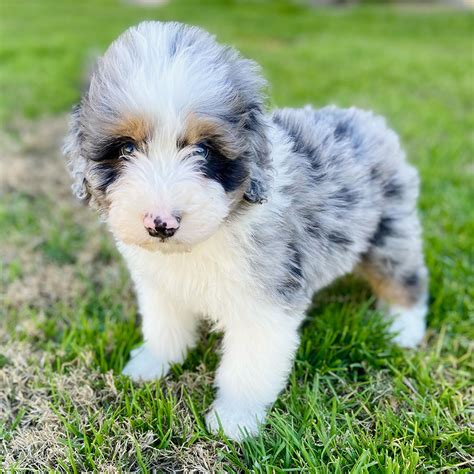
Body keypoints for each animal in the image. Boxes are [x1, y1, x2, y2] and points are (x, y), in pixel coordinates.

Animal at [64, 21, 430, 440]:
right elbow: (163, 328)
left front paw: (233, 420)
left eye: (203, 151)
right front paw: (150, 366)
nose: (161, 223)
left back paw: (403, 328)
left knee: (405, 279)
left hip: (390, 231)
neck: (209, 236)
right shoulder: (160, 287)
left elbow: (248, 367)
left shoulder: (265, 302)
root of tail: (369, 120)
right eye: (125, 149)